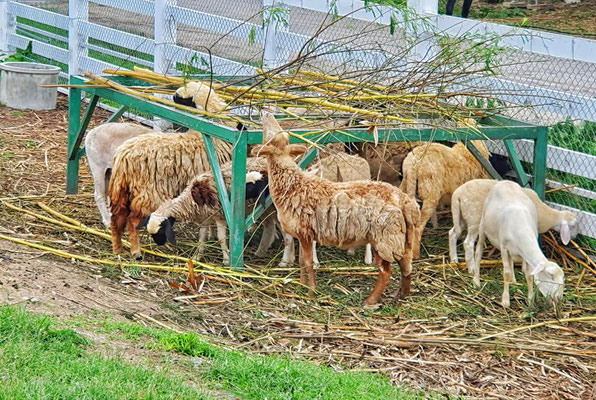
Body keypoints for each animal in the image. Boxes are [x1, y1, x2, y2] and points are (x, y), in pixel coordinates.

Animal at [251, 112, 420, 306]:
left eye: (270, 136)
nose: (266, 113)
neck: (292, 184)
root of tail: (405, 201)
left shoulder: (305, 232)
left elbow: (308, 263)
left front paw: (311, 292)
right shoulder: (302, 234)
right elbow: (301, 261)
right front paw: (302, 286)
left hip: (385, 236)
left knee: (386, 271)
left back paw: (370, 301)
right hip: (400, 237)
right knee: (406, 266)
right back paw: (402, 295)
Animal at [472, 180, 564, 308]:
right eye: (550, 275)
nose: (559, 298)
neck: (522, 229)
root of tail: (505, 181)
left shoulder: (525, 253)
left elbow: (529, 276)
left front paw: (530, 301)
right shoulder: (504, 248)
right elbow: (506, 273)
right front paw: (505, 301)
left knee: (511, 261)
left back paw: (514, 281)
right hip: (483, 224)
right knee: (478, 250)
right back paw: (476, 281)